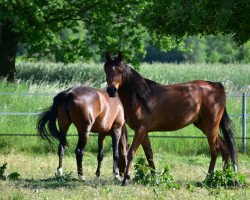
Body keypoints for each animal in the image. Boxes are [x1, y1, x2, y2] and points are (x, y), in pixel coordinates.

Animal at [104, 52, 238, 185]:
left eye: (120, 70)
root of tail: (216, 85)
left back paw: (208, 179)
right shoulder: (144, 132)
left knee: (215, 150)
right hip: (204, 125)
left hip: (211, 126)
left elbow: (131, 152)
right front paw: (154, 178)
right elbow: (149, 154)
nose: (111, 90)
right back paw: (225, 177)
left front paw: (126, 179)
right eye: (106, 69)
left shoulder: (140, 129)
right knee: (224, 148)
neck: (140, 98)